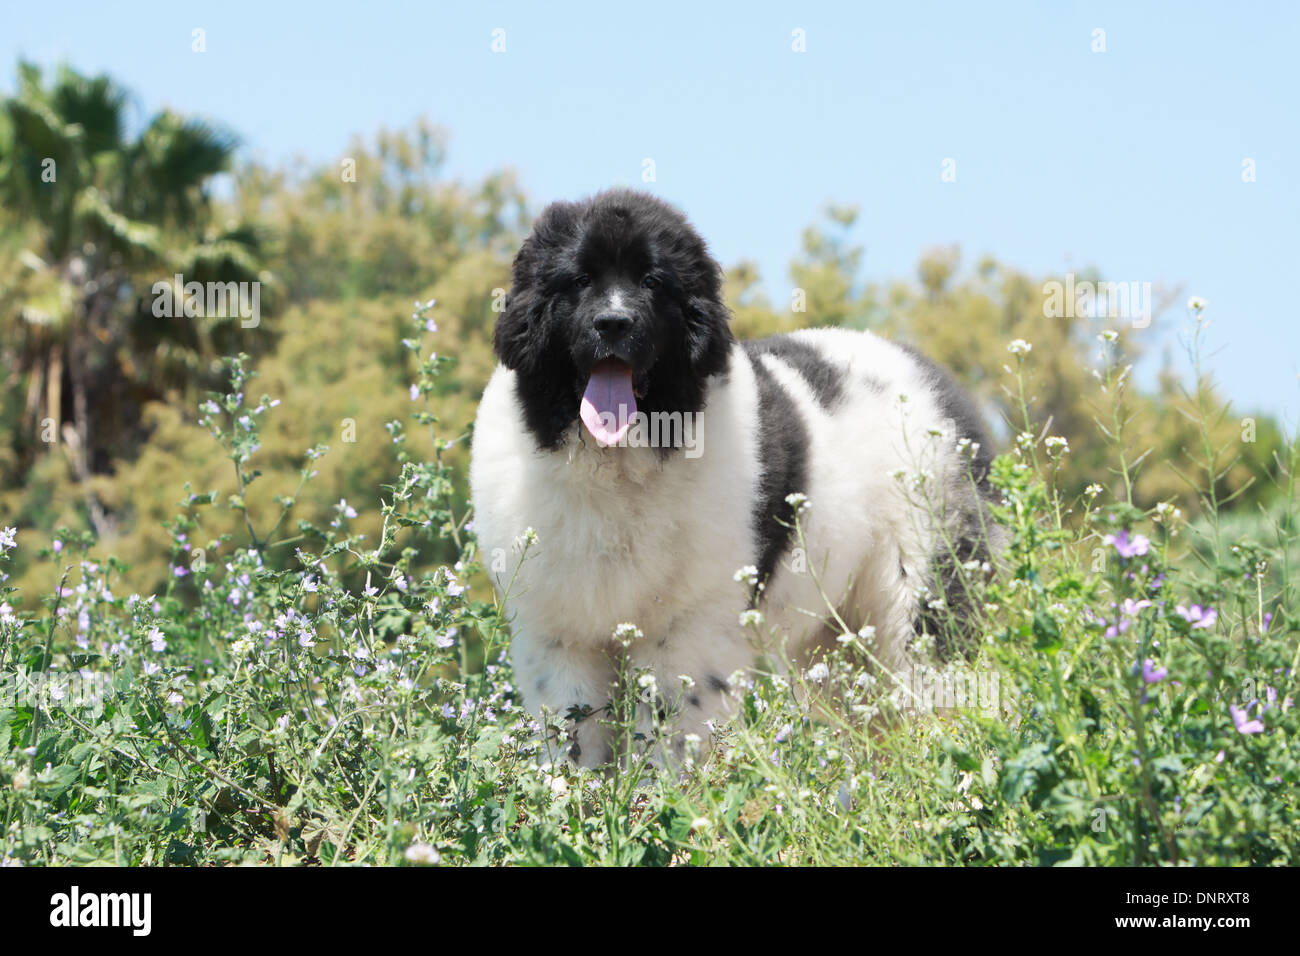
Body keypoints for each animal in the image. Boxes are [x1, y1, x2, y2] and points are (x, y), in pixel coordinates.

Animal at [473, 191, 998, 764]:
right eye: (579, 280)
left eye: (652, 282)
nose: (613, 322)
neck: (618, 465)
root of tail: (935, 379)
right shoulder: (558, 635)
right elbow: (571, 735)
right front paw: (571, 789)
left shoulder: (690, 628)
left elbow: (672, 728)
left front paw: (659, 788)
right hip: (834, 637)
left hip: (924, 586)